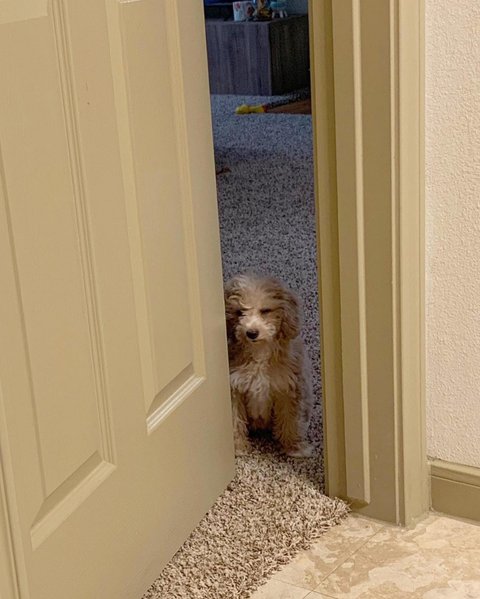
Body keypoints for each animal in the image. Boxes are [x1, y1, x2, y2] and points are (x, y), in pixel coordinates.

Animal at [224, 274, 313, 457]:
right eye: (240, 312)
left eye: (265, 311)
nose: (251, 333)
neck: (260, 352)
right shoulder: (234, 388)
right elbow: (235, 419)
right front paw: (239, 447)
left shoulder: (288, 387)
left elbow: (290, 418)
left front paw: (294, 447)